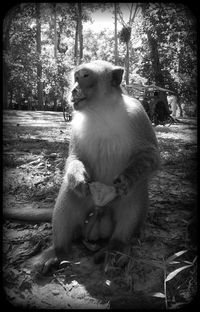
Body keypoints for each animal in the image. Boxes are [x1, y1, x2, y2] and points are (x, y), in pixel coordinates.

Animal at [3, 60, 161, 272]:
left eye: (85, 76)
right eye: (76, 77)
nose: (73, 89)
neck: (101, 110)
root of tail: (100, 211)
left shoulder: (138, 114)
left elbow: (151, 156)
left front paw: (126, 177)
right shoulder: (76, 123)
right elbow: (74, 158)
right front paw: (78, 177)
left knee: (136, 190)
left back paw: (116, 247)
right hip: (86, 211)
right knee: (70, 191)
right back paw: (58, 251)